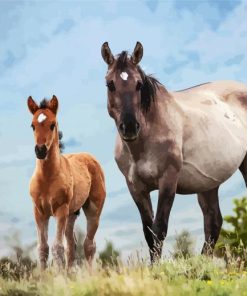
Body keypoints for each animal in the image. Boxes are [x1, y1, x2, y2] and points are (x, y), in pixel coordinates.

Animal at [27, 96, 106, 270]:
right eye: (32, 125)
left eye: (52, 125)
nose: (40, 150)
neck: (47, 178)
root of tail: (91, 158)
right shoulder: (39, 212)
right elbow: (42, 248)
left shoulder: (60, 210)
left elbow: (57, 247)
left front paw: (58, 275)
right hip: (72, 213)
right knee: (72, 245)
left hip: (93, 209)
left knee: (89, 244)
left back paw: (89, 274)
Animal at [101, 41, 247, 262]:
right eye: (110, 84)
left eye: (138, 84)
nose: (129, 127)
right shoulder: (135, 187)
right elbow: (148, 232)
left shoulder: (168, 180)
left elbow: (159, 228)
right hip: (208, 183)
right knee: (213, 222)